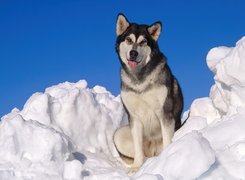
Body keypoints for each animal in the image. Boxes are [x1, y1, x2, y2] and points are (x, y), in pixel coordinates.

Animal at [114, 13, 183, 172]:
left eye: (143, 42)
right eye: (128, 40)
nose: (133, 53)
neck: (139, 79)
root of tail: (153, 152)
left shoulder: (164, 112)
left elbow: (167, 139)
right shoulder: (134, 117)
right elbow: (138, 148)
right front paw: (136, 168)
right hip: (118, 135)